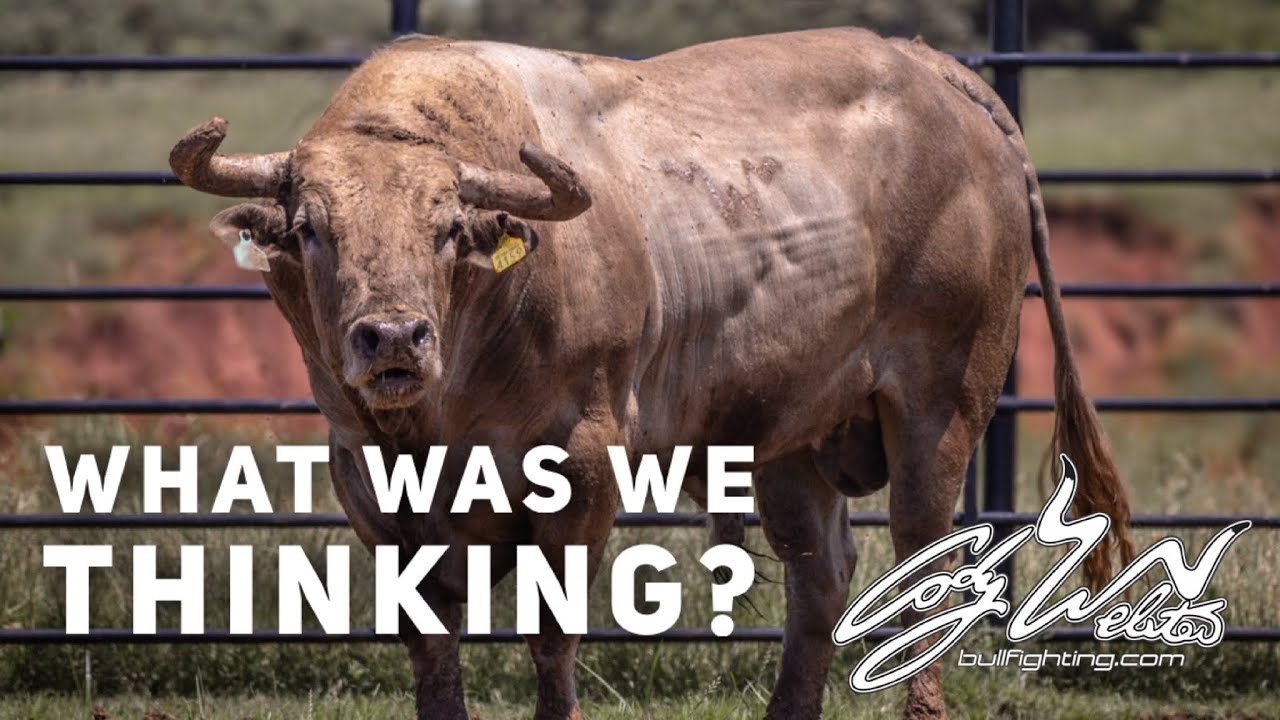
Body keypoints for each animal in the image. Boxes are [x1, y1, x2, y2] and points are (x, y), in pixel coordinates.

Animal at [169, 27, 1134, 720]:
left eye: (447, 227)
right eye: (311, 228)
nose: (393, 337)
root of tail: (940, 73)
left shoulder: (581, 458)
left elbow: (552, 636)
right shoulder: (364, 473)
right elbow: (432, 640)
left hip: (941, 403)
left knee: (923, 565)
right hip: (786, 439)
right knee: (819, 580)